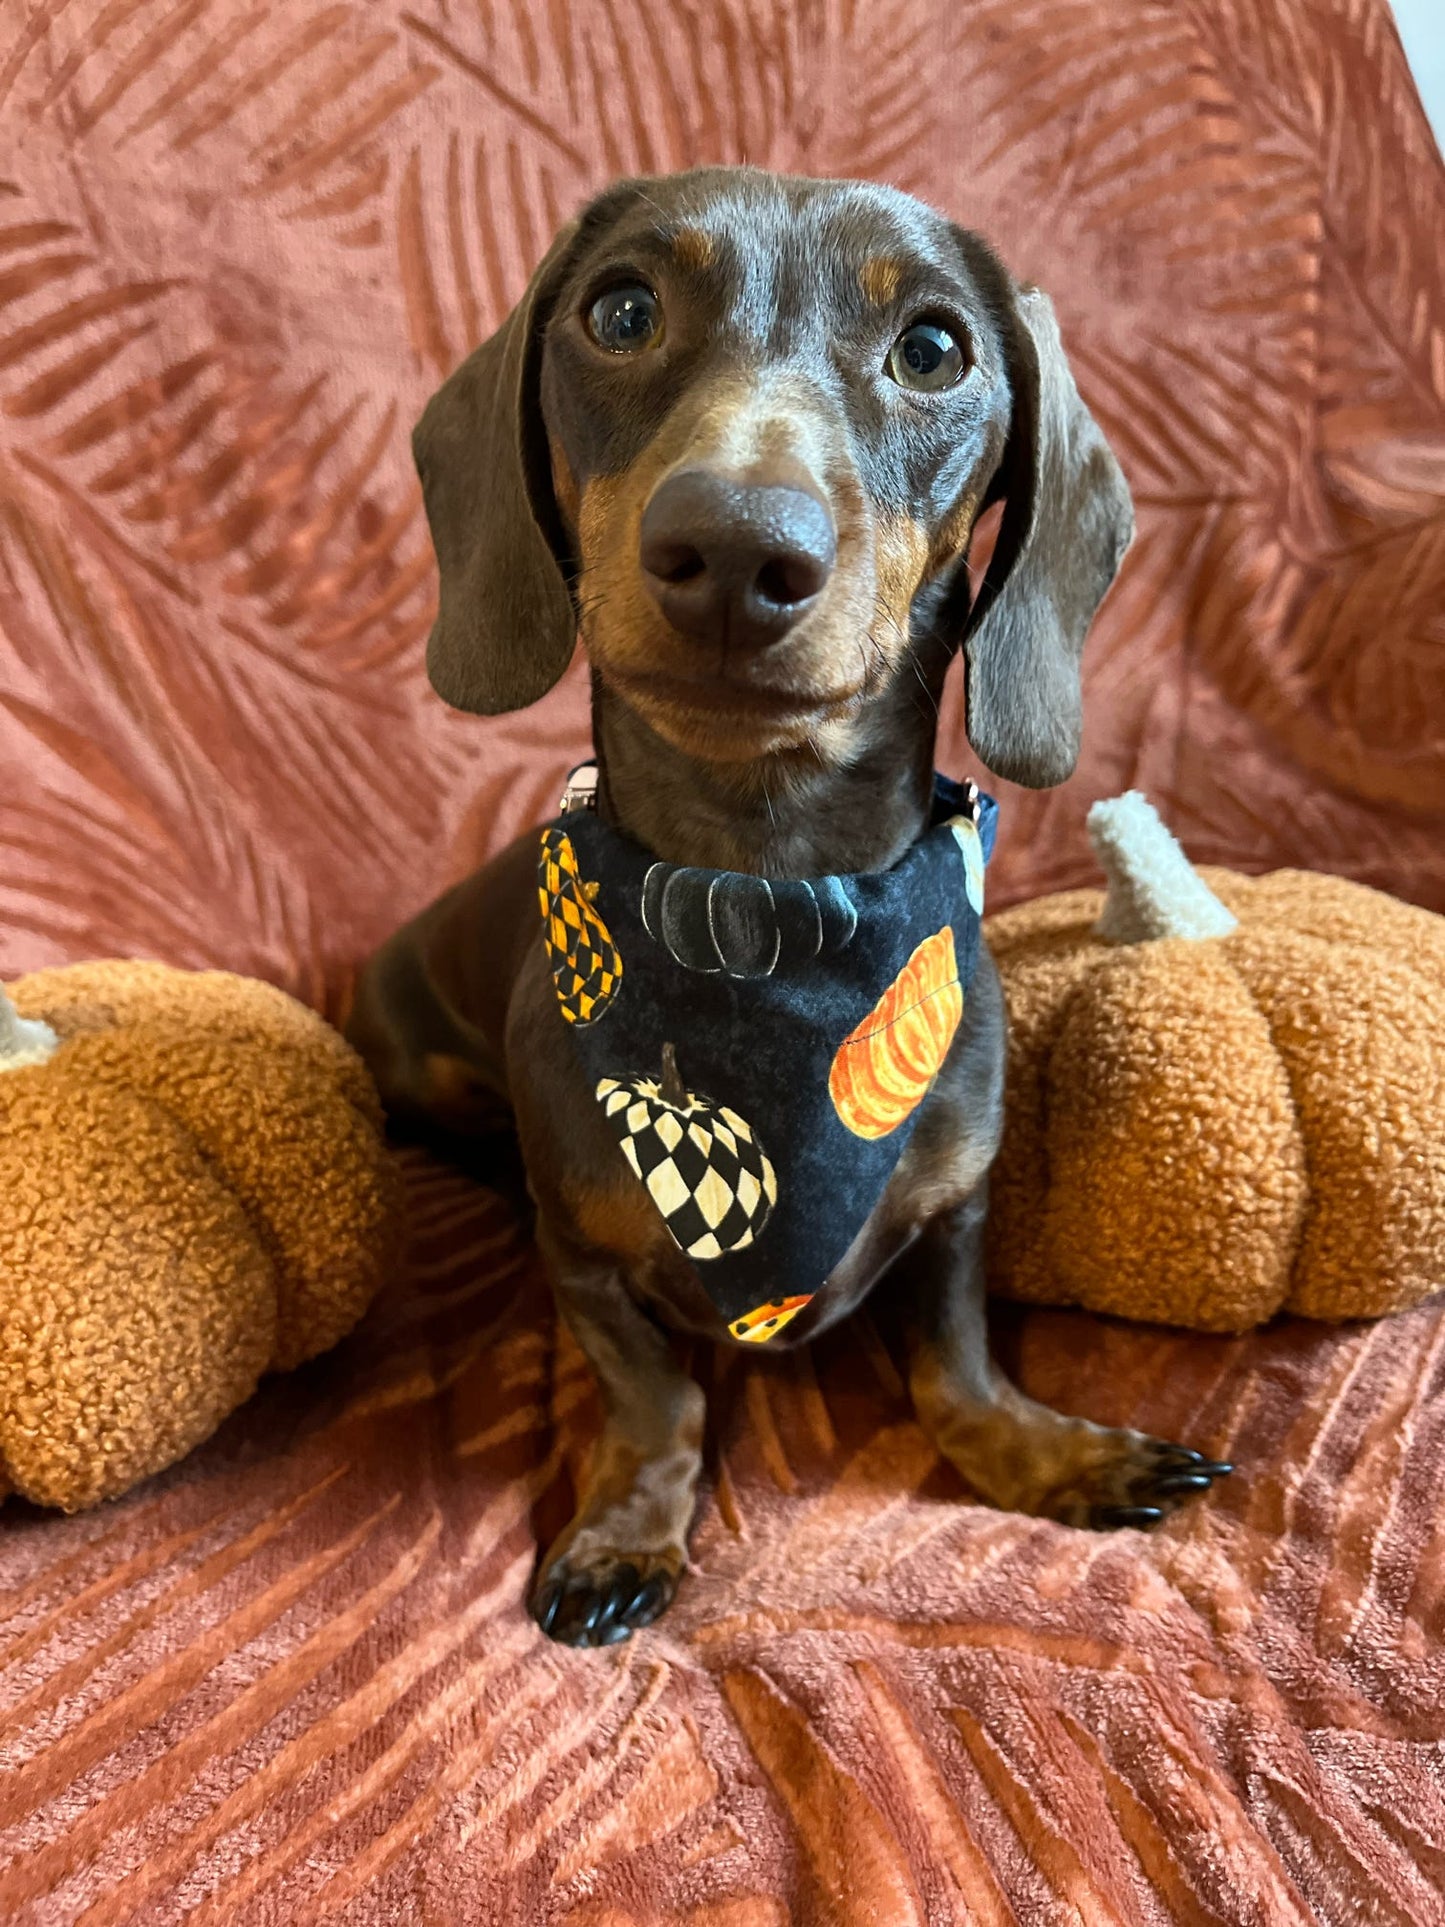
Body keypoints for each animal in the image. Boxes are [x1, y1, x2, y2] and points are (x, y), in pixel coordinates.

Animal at [348, 165, 1233, 1649]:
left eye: (932, 349)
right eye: (620, 310)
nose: (731, 547)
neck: (760, 898)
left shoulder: (955, 1213)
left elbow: (956, 1369)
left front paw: (1051, 1453)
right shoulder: (585, 1268)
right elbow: (656, 1399)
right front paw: (627, 1530)